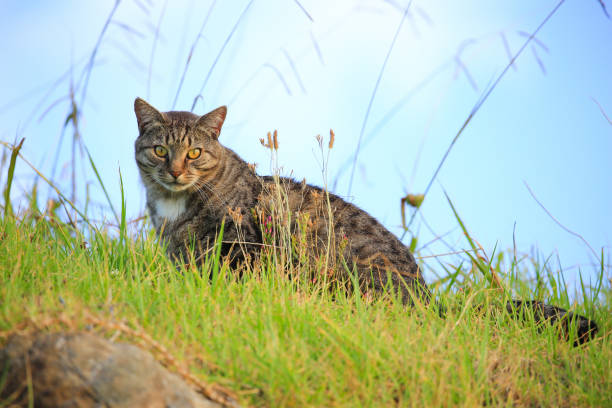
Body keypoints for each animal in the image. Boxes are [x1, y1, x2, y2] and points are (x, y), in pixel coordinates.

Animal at [133, 98, 596, 344]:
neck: (173, 204)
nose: (175, 170)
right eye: (160, 150)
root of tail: (430, 302)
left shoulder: (242, 243)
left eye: (194, 153)